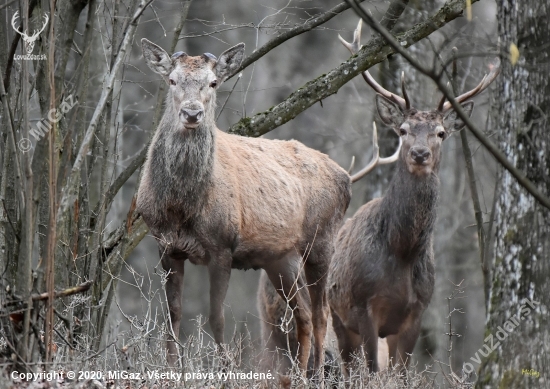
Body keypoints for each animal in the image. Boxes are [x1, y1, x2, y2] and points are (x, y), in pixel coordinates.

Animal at [138, 38, 396, 372]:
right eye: (171, 80)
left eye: (213, 82)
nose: (192, 113)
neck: (182, 209)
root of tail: (345, 177)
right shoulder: (166, 244)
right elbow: (173, 316)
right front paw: (171, 369)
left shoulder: (222, 245)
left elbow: (216, 318)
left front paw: (226, 370)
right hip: (280, 259)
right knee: (302, 314)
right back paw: (302, 374)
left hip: (322, 241)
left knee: (321, 314)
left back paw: (317, 372)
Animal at [330, 22, 502, 372]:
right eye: (403, 130)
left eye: (441, 133)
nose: (420, 154)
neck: (402, 251)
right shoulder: (363, 306)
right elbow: (372, 370)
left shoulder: (416, 312)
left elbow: (401, 373)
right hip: (336, 314)